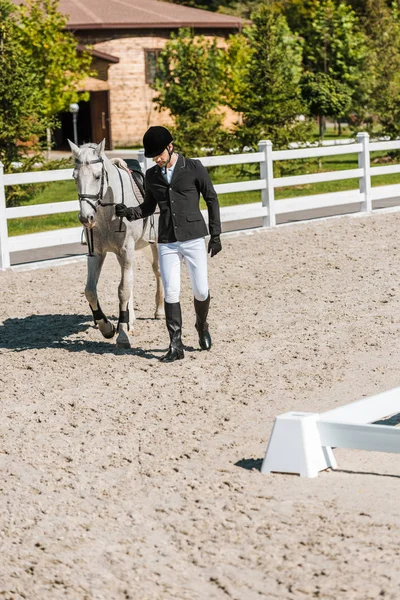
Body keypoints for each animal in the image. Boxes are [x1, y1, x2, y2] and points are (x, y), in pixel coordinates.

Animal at [69, 139, 164, 350]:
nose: (85, 218)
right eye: (74, 177)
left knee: (158, 272)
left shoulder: (126, 251)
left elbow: (122, 290)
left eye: (97, 177)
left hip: (154, 245)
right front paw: (107, 327)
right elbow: (90, 291)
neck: (107, 213)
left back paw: (159, 310)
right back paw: (131, 320)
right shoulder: (96, 253)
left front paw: (122, 334)